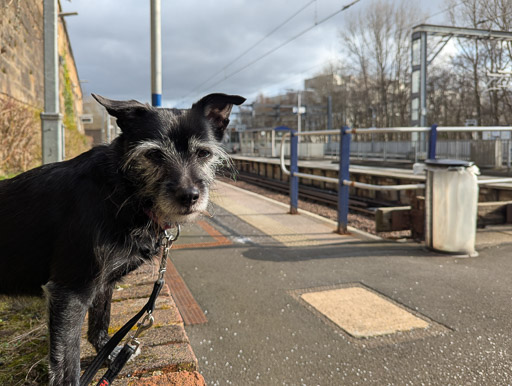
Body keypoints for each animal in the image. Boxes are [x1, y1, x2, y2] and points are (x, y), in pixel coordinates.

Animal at [0, 92, 246, 382]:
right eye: (153, 154)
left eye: (204, 153)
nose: (189, 196)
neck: (121, 189)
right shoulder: (69, 293)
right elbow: (66, 364)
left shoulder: (103, 284)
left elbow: (100, 323)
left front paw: (110, 356)